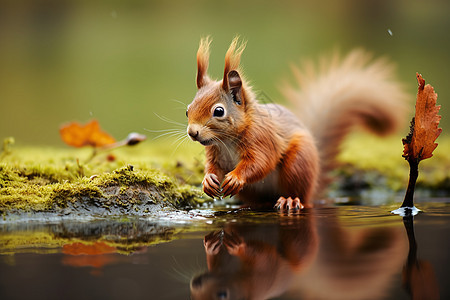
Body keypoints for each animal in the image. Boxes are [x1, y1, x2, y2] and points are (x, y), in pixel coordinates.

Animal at [185, 37, 406, 210]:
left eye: (219, 111)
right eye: (187, 110)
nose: (192, 132)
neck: (227, 141)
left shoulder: (262, 139)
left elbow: (260, 162)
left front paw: (235, 178)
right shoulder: (215, 152)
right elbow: (213, 167)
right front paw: (208, 181)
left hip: (299, 164)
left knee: (299, 194)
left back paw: (290, 201)